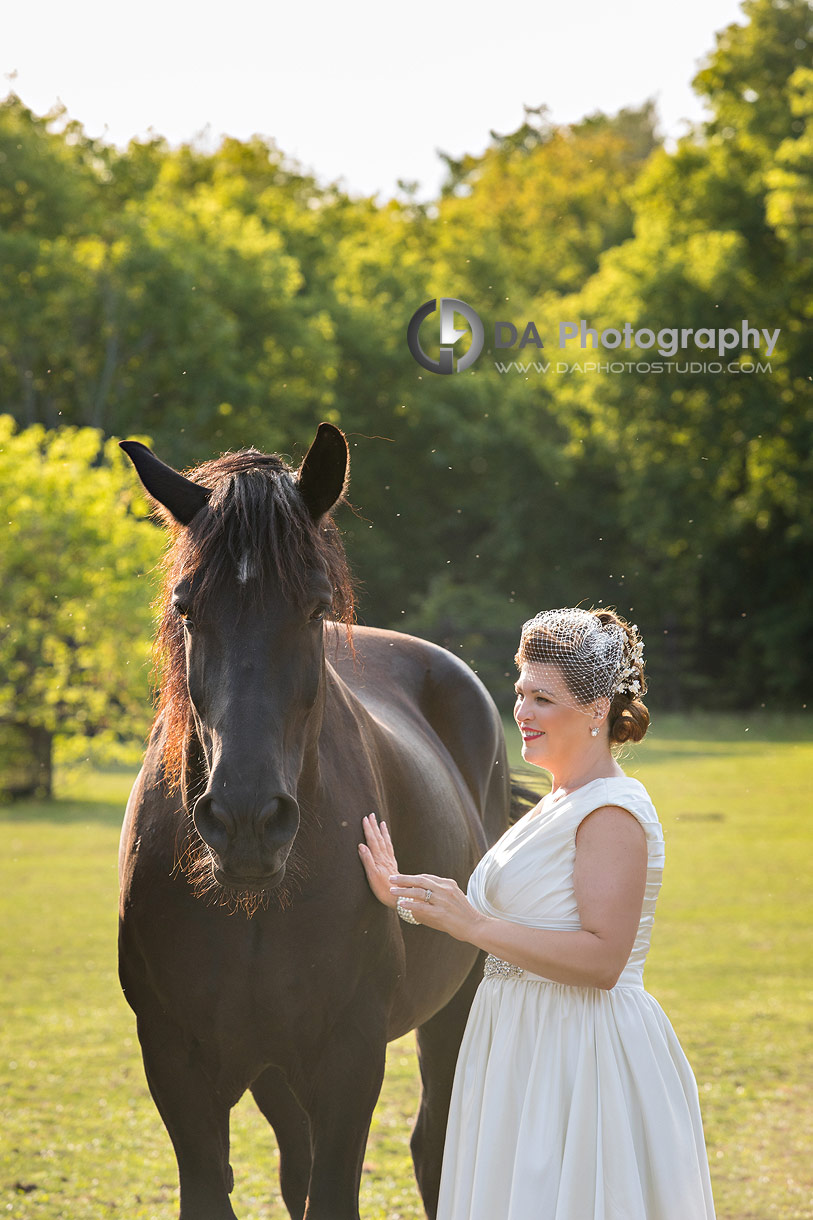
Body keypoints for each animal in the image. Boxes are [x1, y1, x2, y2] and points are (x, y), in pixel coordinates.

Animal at [117, 424, 510, 1215]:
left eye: (313, 608)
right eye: (186, 607)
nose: (245, 820)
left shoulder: (349, 1060)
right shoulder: (175, 1062)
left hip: (455, 1005)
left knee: (435, 1146)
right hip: (274, 1069)